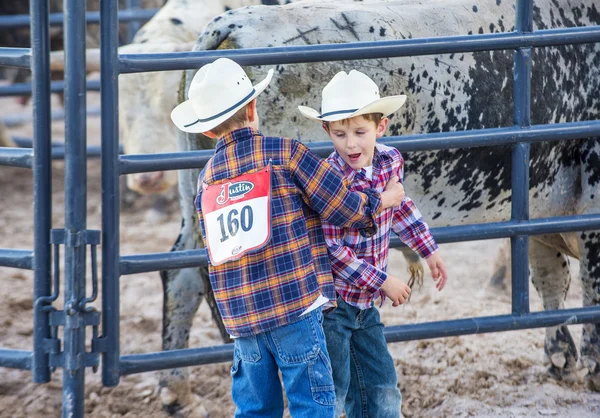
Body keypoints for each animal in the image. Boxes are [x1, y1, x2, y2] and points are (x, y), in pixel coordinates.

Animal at [159, 0, 600, 410]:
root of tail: (231, 22)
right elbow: (590, 285)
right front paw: (591, 366)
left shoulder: (540, 207)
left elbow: (551, 279)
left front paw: (561, 357)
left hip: (194, 199)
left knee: (182, 276)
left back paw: (175, 389)